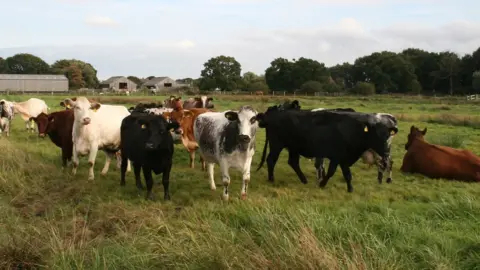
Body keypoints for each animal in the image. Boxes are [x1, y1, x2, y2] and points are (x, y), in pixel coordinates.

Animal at [256, 106, 400, 193]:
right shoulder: (338, 157)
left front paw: (349, 189)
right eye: (376, 135)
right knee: (271, 160)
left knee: (293, 162)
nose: (386, 151)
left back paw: (303, 180)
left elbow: (345, 174)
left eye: (387, 135)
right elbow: (333, 172)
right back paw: (271, 179)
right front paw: (323, 184)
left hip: (293, 148)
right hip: (277, 145)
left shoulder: (342, 158)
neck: (352, 130)